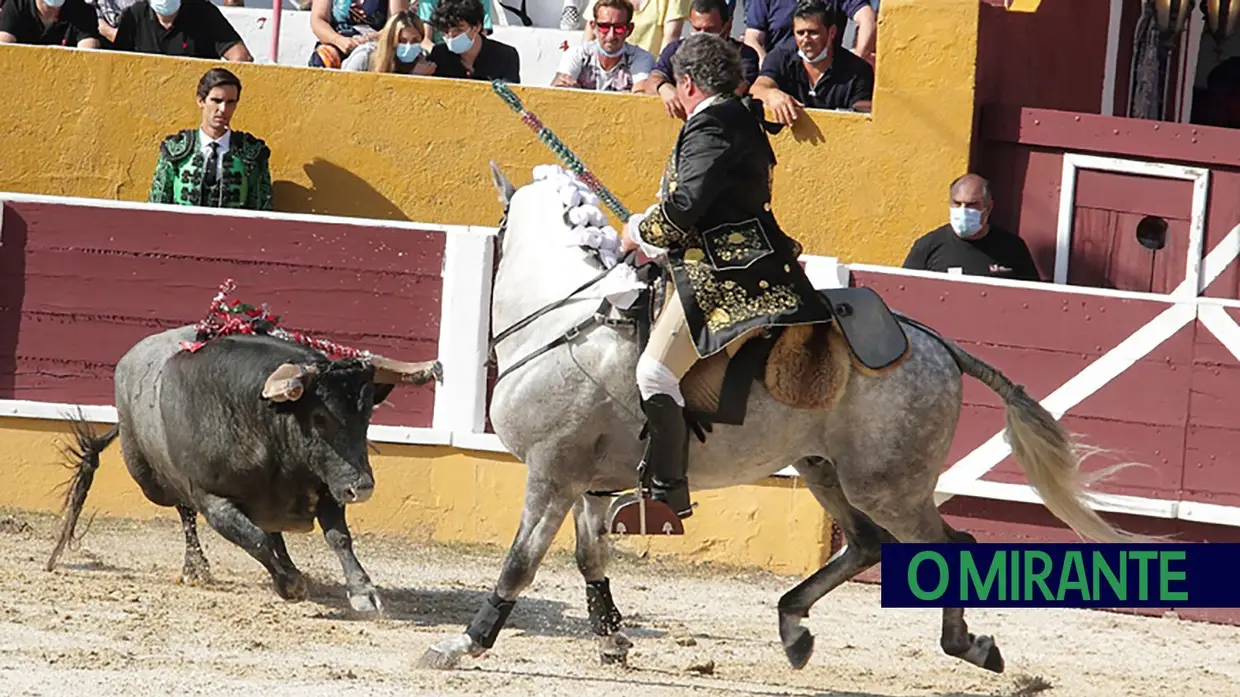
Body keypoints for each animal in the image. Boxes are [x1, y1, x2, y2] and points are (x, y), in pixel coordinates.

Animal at [43, 322, 441, 610]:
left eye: (367, 415)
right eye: (319, 417)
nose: (362, 486)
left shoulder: (327, 486)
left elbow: (338, 538)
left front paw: (363, 591)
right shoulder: (214, 501)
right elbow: (254, 539)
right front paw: (290, 585)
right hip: (153, 482)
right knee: (186, 512)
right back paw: (196, 568)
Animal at [421, 163, 1145, 674]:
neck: (567, 321)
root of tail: (939, 345)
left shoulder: (551, 472)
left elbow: (520, 564)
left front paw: (462, 645)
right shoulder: (589, 483)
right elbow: (590, 555)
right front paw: (613, 641)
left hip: (887, 484)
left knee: (946, 544)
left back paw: (966, 643)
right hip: (825, 469)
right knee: (865, 543)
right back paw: (794, 626)